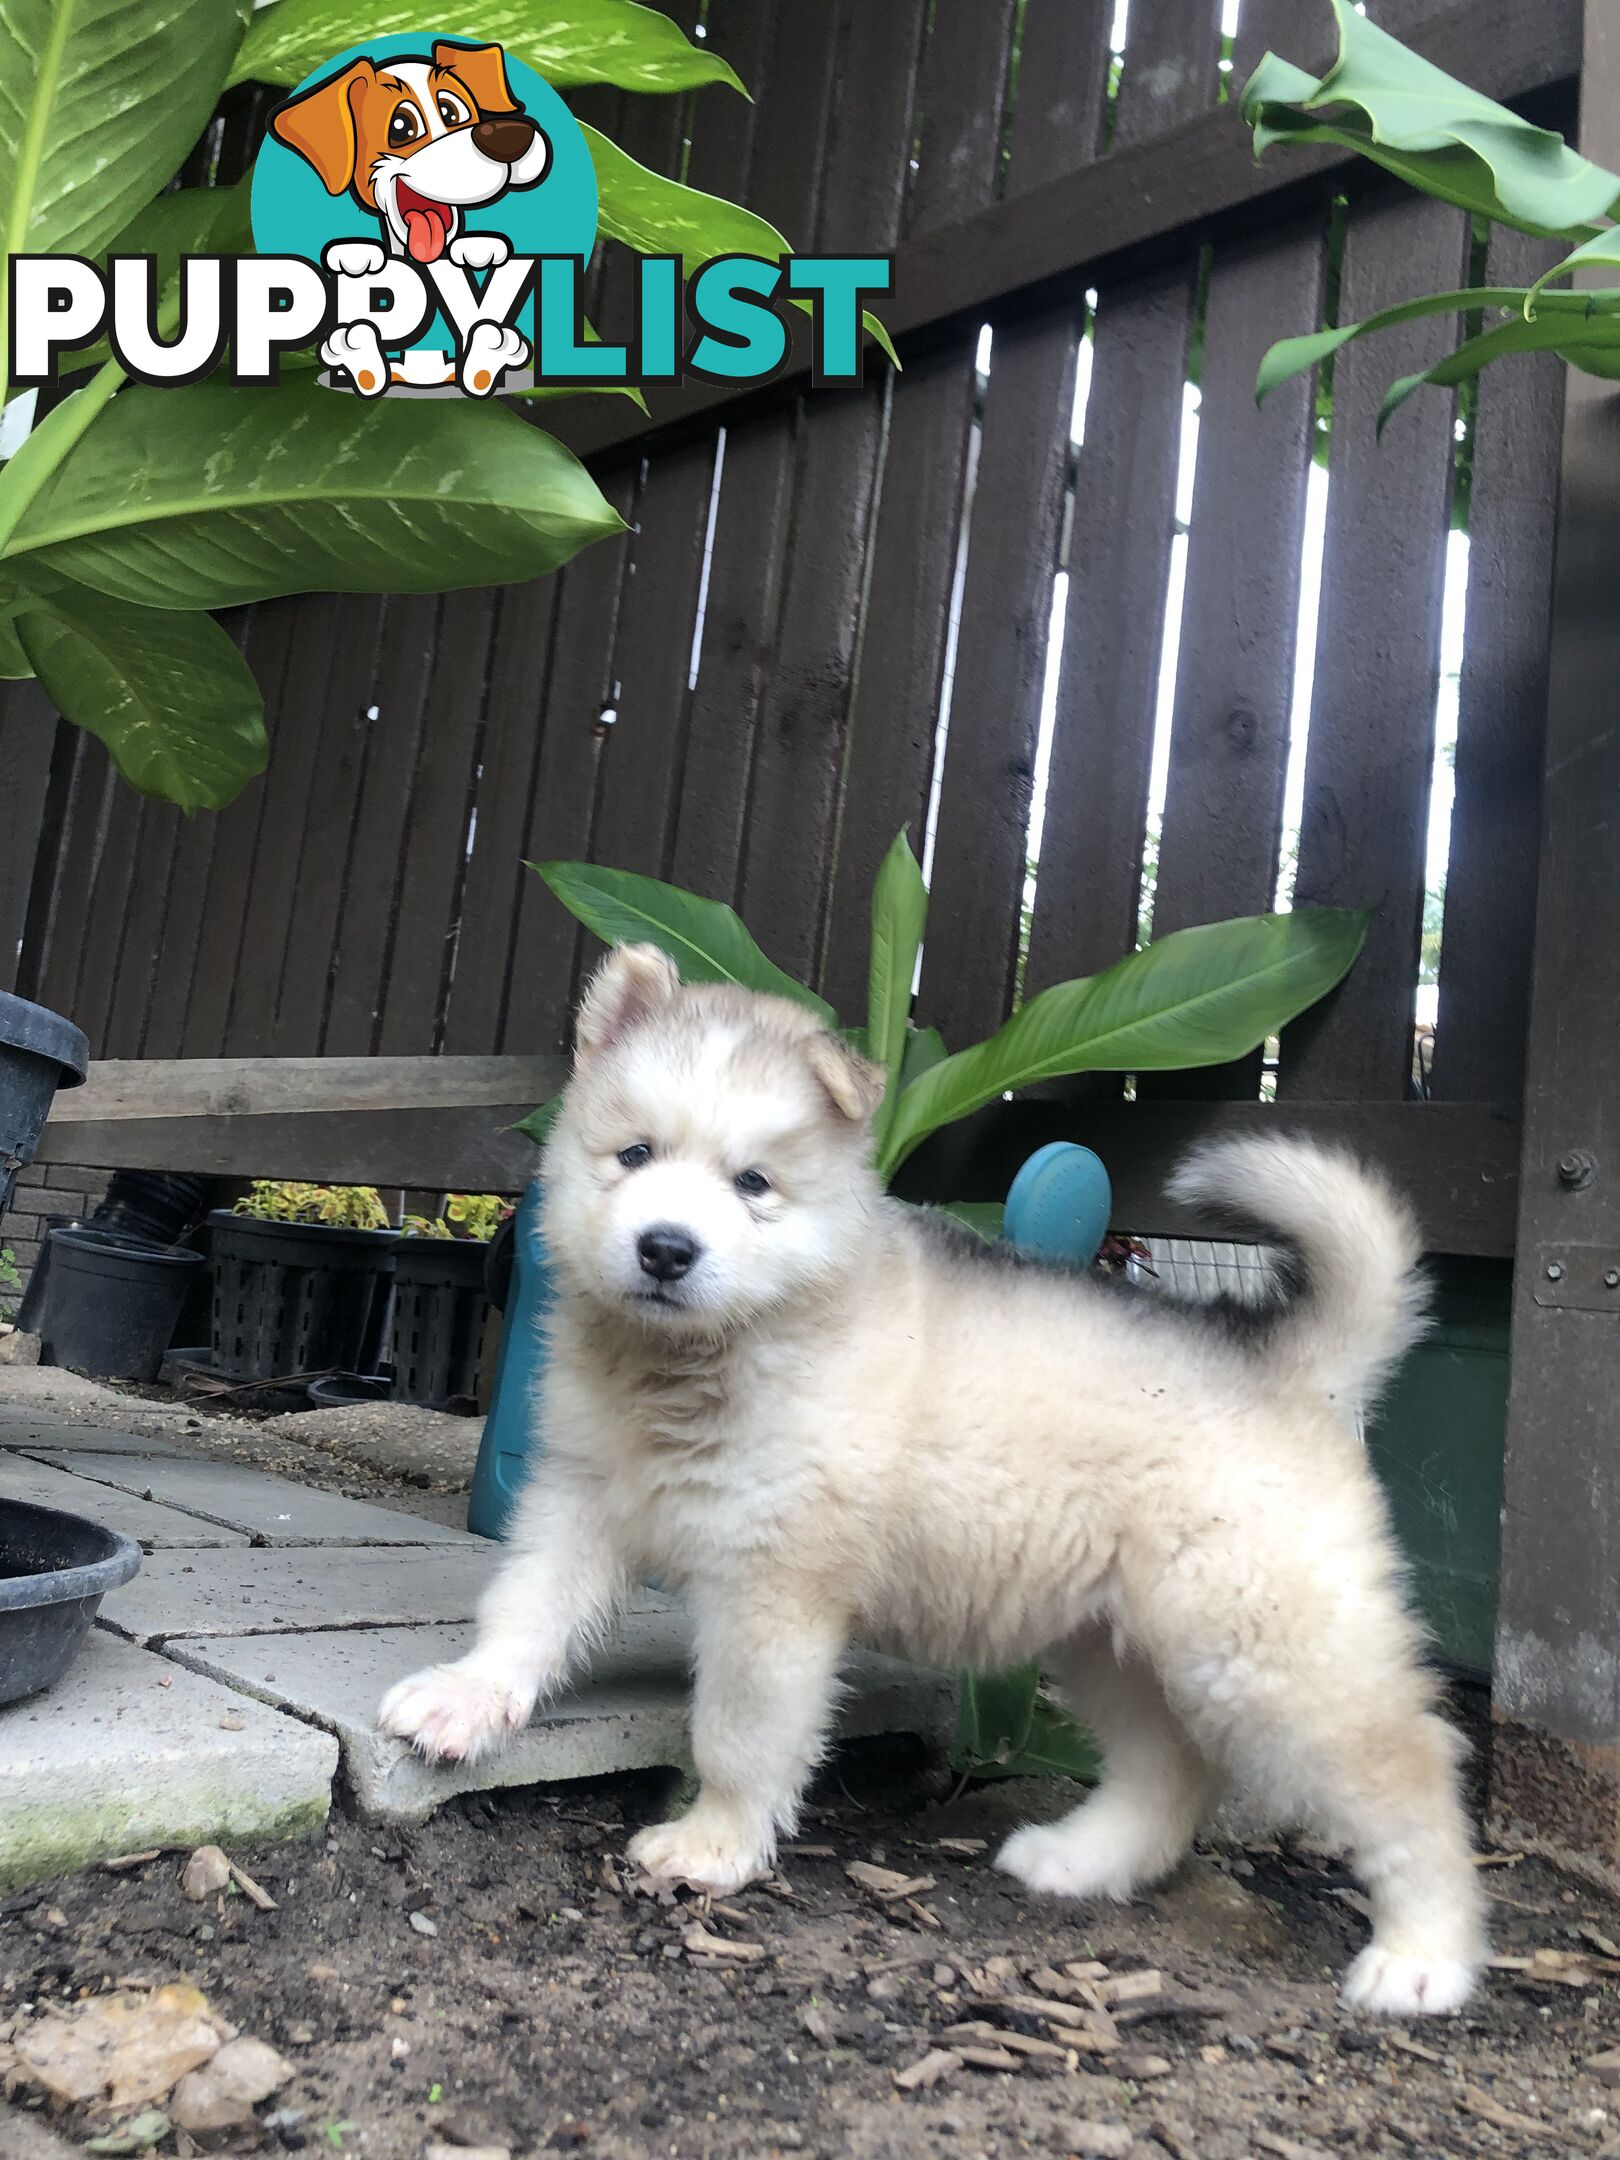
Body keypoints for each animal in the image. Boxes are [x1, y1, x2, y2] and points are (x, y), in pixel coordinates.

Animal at [378, 954, 1486, 2013]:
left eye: (753, 1183)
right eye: (636, 1155)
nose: (665, 1249)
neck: (696, 1366)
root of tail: (1292, 1368)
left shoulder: (773, 1589)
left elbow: (737, 1732)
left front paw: (712, 1845)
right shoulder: (581, 1498)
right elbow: (525, 1610)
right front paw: (467, 1700)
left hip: (1267, 1653)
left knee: (1413, 1769)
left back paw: (1424, 1957)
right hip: (1107, 1642)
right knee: (1171, 1769)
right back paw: (1082, 1858)